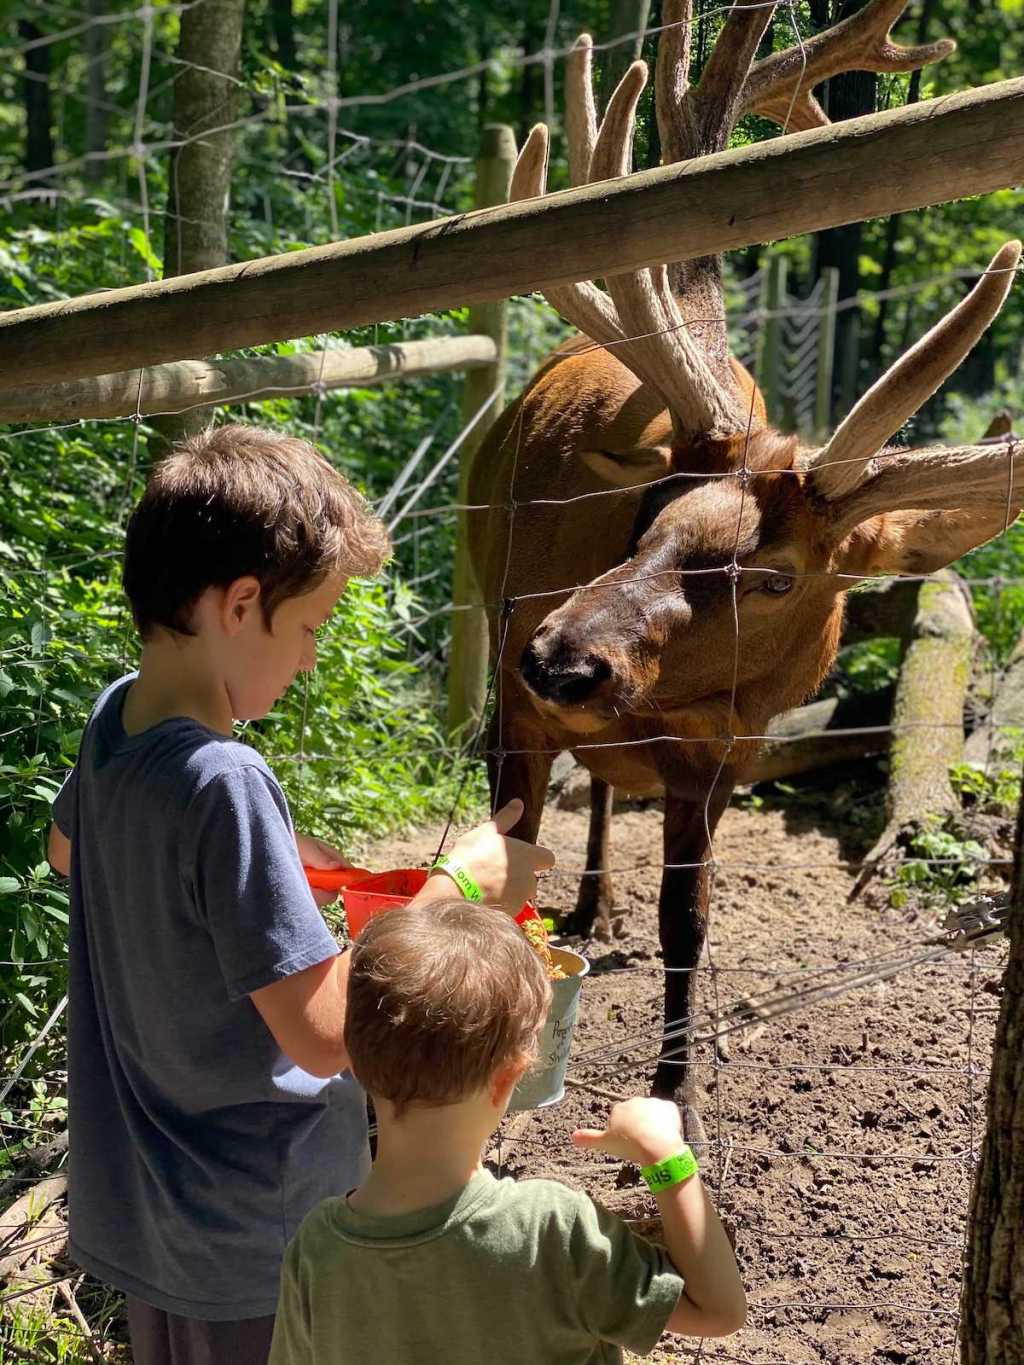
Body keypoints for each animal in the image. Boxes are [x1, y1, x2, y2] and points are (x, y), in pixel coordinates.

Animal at [469, 0, 1021, 1130]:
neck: (678, 703)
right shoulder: (516, 703)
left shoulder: (729, 752)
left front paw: (674, 1089)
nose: (560, 656)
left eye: (773, 577)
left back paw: (599, 900)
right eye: (650, 519)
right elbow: (510, 867)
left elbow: (691, 914)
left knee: (607, 801)